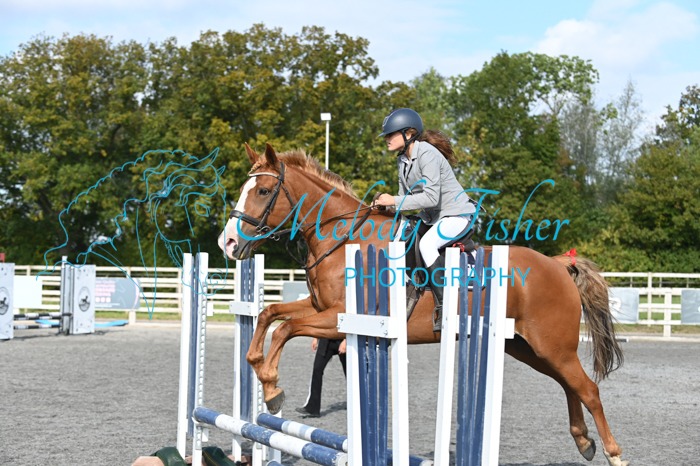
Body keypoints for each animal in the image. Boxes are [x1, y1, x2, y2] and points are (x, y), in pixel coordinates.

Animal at [218, 143, 628, 466]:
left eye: (264, 190)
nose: (228, 243)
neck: (345, 238)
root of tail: (558, 265)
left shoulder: (339, 319)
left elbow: (286, 328)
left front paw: (272, 390)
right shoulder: (320, 310)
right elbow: (271, 314)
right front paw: (263, 373)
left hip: (551, 345)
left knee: (587, 389)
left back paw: (612, 452)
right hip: (528, 348)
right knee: (569, 385)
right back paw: (584, 441)